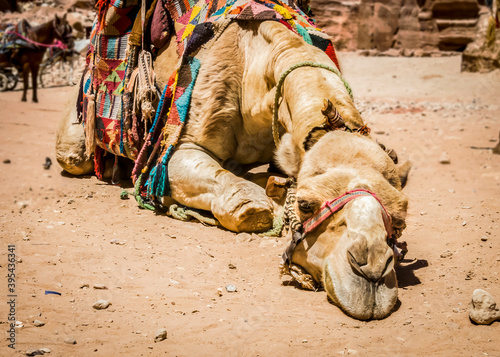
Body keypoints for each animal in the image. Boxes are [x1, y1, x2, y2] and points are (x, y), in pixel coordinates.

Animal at [56, 11, 410, 320]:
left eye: (400, 219)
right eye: (306, 205)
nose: (372, 273)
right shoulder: (178, 145)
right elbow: (245, 204)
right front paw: (254, 207)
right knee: (72, 154)